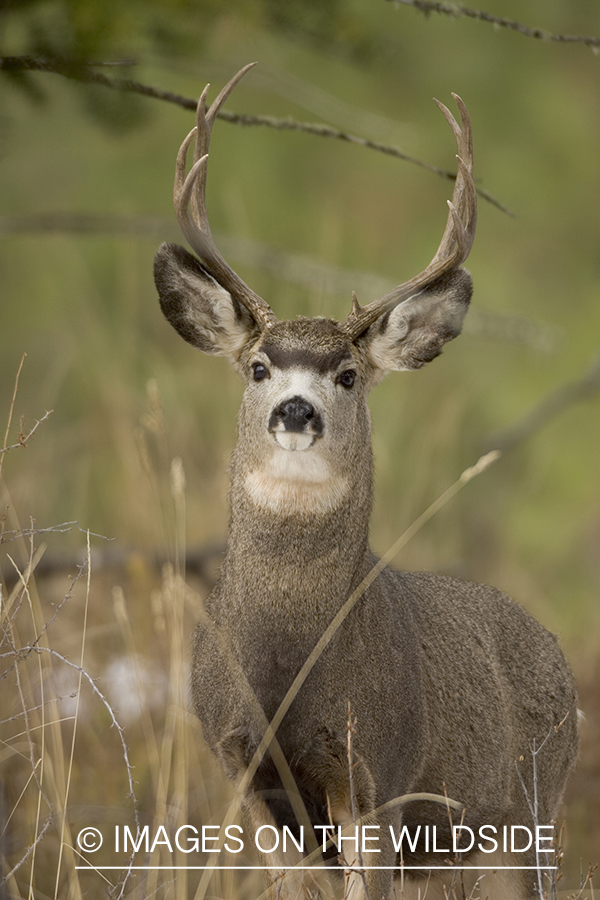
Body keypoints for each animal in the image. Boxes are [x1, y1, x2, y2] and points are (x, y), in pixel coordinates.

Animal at [154, 64, 579, 900]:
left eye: (347, 374)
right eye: (259, 367)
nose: (296, 409)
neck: (286, 666)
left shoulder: (377, 771)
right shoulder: (246, 770)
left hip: (531, 809)